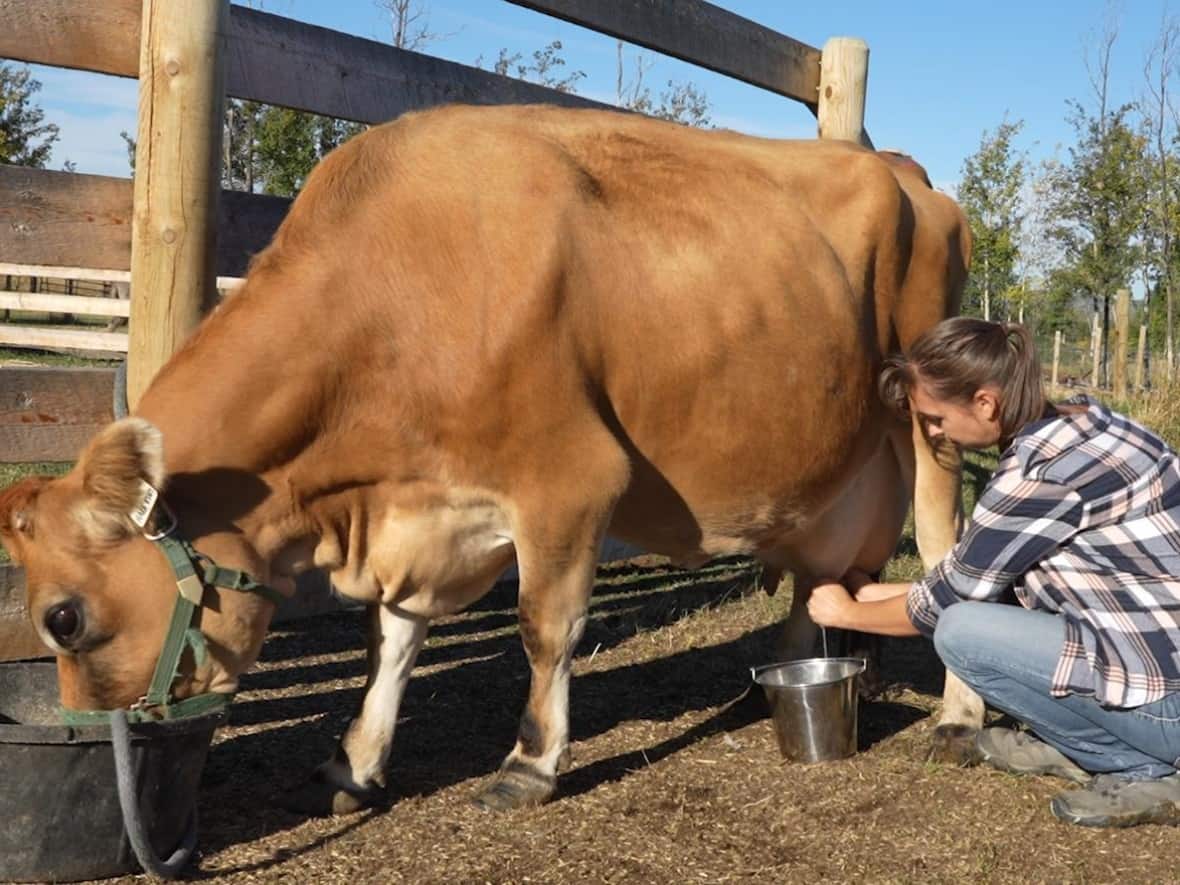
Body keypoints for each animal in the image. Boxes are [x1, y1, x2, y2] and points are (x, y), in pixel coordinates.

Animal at [0, 104, 977, 814]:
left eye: (63, 619)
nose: (101, 739)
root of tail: (904, 170)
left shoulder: (569, 482)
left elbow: (544, 627)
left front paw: (529, 762)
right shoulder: (417, 514)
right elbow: (389, 639)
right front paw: (356, 762)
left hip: (928, 421)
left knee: (942, 551)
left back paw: (960, 718)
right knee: (818, 574)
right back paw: (766, 689)